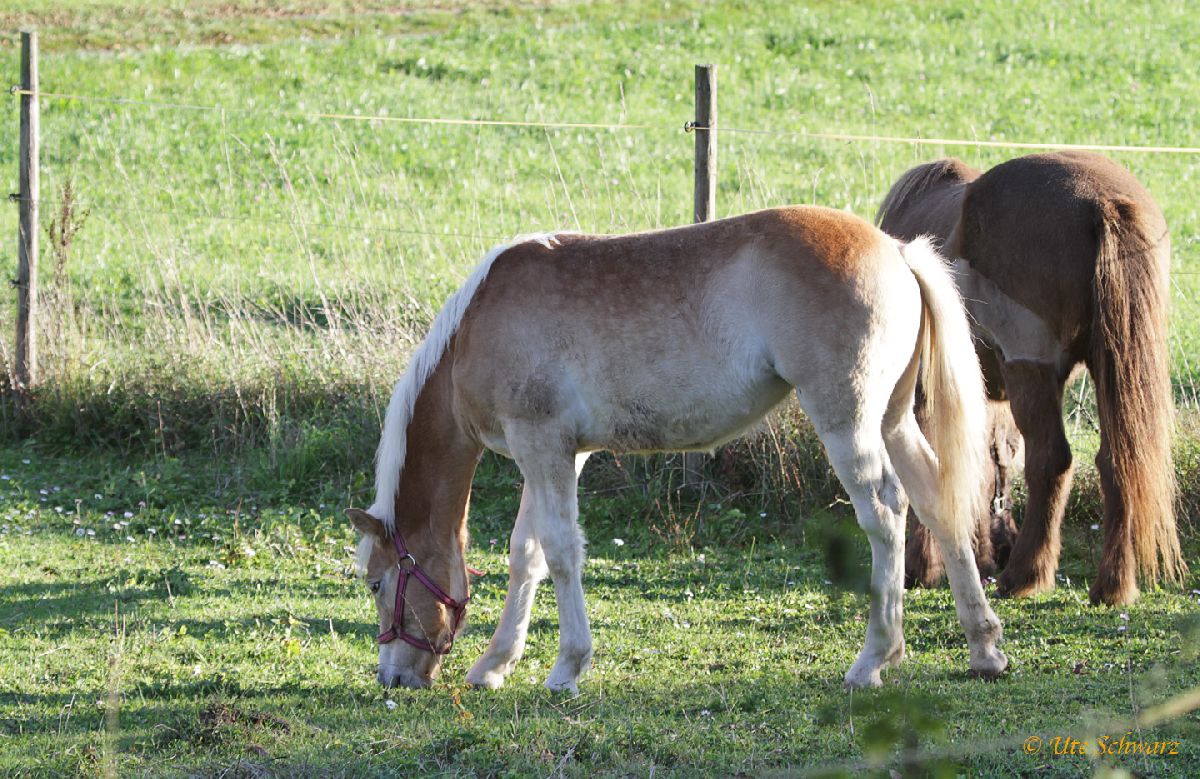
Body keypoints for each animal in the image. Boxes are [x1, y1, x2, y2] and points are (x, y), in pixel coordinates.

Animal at [350, 204, 1012, 691]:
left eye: (377, 583)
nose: (393, 679)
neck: (476, 327)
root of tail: (895, 250)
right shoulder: (559, 454)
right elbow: (527, 553)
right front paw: (494, 665)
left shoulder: (540, 444)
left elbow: (561, 553)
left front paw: (567, 667)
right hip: (894, 421)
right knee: (936, 504)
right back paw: (983, 647)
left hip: (847, 424)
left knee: (886, 513)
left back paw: (875, 658)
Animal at [878, 148, 1185, 604]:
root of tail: (1103, 201)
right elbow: (993, 465)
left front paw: (926, 566)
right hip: (1102, 370)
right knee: (1118, 462)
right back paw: (1111, 586)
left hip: (1030, 371)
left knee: (1051, 461)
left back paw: (1024, 575)